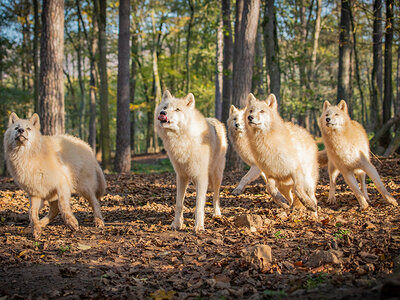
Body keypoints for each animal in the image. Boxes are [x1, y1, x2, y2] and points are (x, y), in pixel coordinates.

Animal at [155, 90, 227, 231]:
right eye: (165, 107)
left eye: (177, 109)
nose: (162, 113)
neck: (183, 140)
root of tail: (215, 120)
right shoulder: (181, 176)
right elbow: (179, 204)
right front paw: (176, 224)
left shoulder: (201, 176)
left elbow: (199, 204)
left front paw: (198, 226)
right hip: (194, 178)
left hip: (216, 175)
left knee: (215, 195)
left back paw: (217, 214)